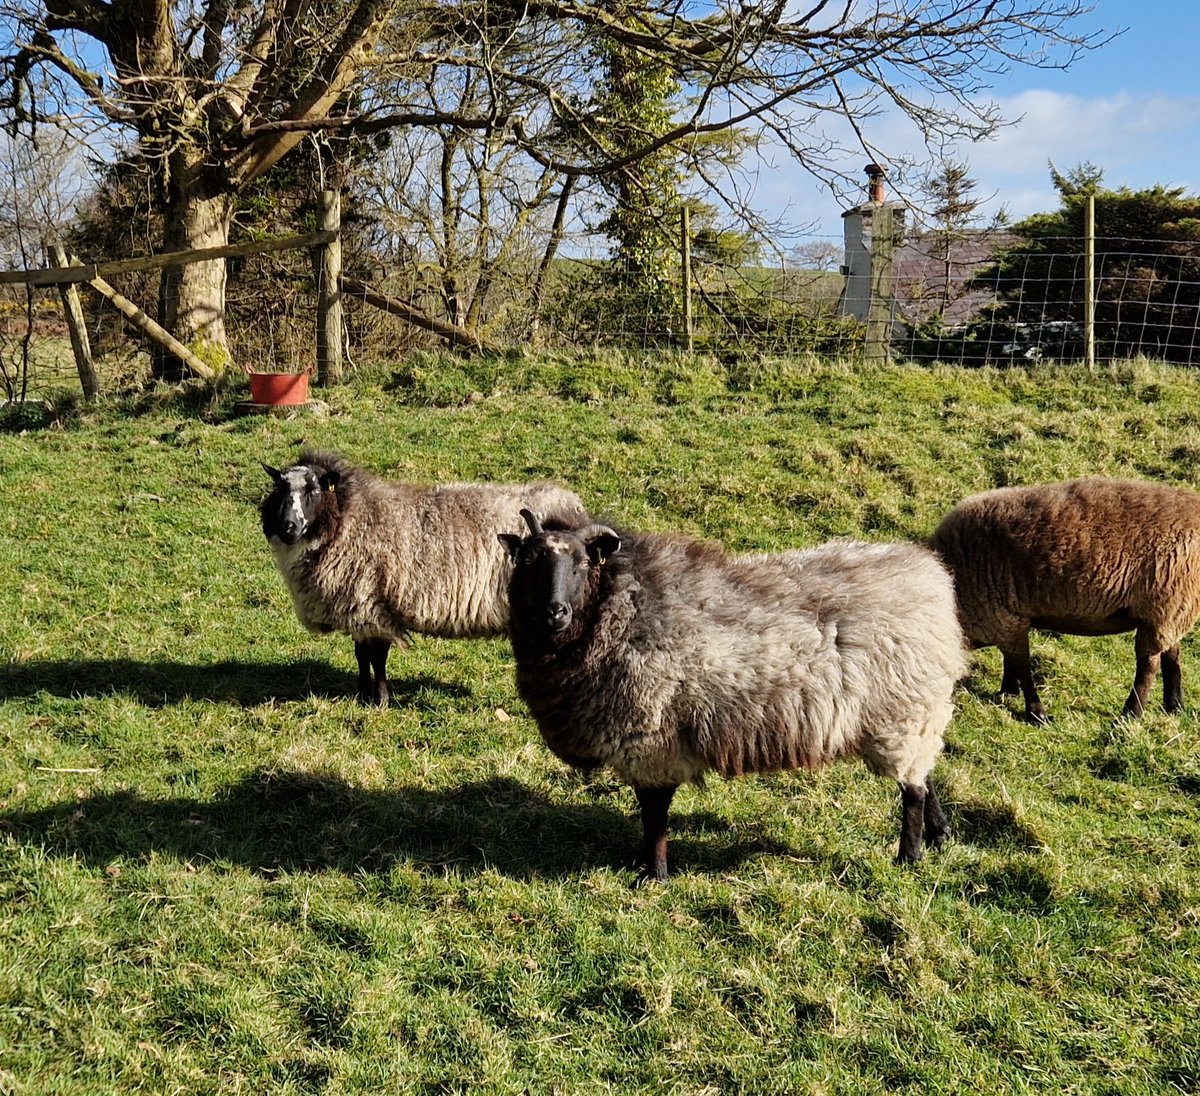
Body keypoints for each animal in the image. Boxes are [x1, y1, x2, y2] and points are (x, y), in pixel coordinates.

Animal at [260, 451, 587, 705]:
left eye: (314, 490)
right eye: (280, 490)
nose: (288, 526)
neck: (349, 518)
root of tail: (574, 505)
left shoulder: (372, 604)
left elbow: (377, 656)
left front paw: (380, 699)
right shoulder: (360, 610)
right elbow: (361, 655)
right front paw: (362, 694)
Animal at [499, 510, 967, 881]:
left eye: (581, 563)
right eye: (529, 561)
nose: (554, 611)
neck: (618, 609)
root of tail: (931, 578)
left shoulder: (651, 739)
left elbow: (655, 814)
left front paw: (654, 874)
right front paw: (644, 865)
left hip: (902, 711)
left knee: (912, 790)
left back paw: (909, 855)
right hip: (913, 713)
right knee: (923, 772)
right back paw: (939, 832)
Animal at [929, 476, 1200, 723]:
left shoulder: (1003, 618)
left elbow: (1022, 666)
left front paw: (1036, 713)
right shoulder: (1008, 619)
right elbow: (1011, 661)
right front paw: (1008, 691)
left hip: (1165, 601)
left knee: (1148, 665)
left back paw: (1131, 714)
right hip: (1172, 608)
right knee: (1171, 654)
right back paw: (1174, 705)